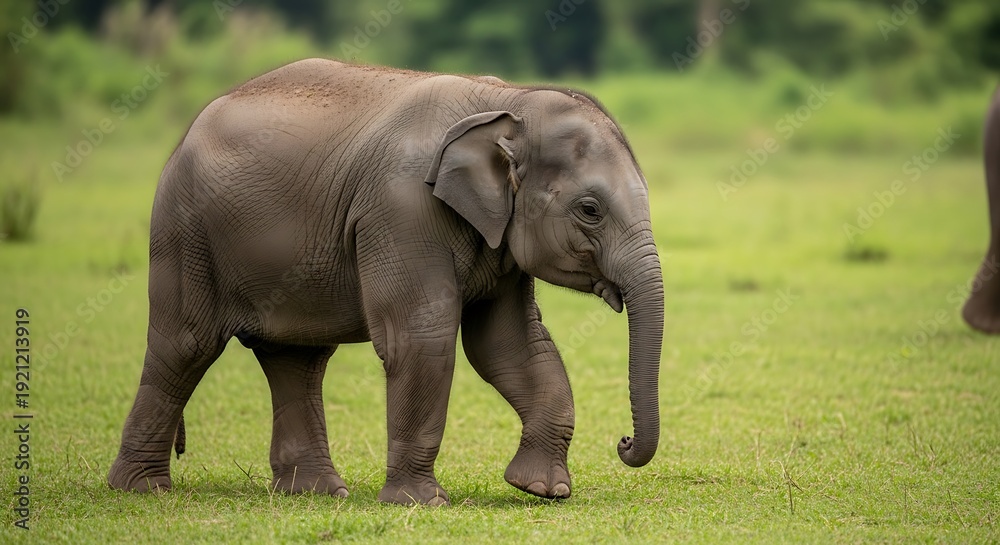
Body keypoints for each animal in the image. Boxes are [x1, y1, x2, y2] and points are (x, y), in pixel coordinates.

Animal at [107, 58, 664, 506]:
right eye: (590, 210)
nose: (623, 443)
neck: (510, 102)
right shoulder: (401, 208)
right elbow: (421, 338)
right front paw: (422, 503)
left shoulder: (499, 237)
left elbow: (511, 345)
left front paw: (544, 490)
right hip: (185, 230)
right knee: (187, 343)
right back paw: (141, 490)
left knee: (297, 357)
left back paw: (314, 492)